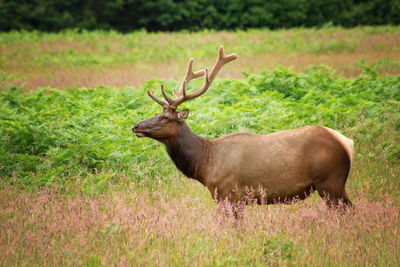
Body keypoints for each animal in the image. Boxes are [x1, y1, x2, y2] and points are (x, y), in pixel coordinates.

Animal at [133, 45, 354, 209]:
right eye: (157, 114)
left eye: (164, 117)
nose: (135, 126)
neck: (205, 165)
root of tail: (346, 142)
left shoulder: (229, 193)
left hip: (331, 180)